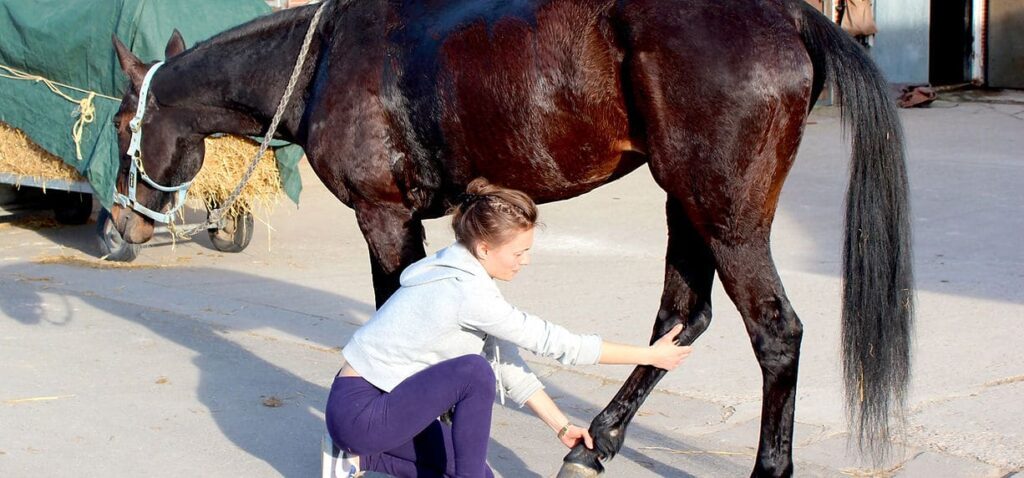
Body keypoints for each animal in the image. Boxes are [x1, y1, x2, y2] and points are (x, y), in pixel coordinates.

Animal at [110, 1, 913, 476]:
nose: (120, 225)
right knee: (682, 317)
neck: (324, 59)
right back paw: (597, 443)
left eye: (122, 126)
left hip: (726, 217)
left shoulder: (385, 217)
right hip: (687, 205)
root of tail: (791, 14)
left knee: (775, 333)